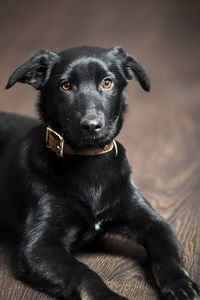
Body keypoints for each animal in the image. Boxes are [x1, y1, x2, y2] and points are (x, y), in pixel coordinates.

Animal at [0, 45, 199, 298]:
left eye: (107, 82)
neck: (89, 161)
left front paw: (181, 284)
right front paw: (108, 296)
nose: (91, 125)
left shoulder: (154, 223)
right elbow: (83, 273)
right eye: (65, 85)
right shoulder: (39, 247)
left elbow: (168, 257)